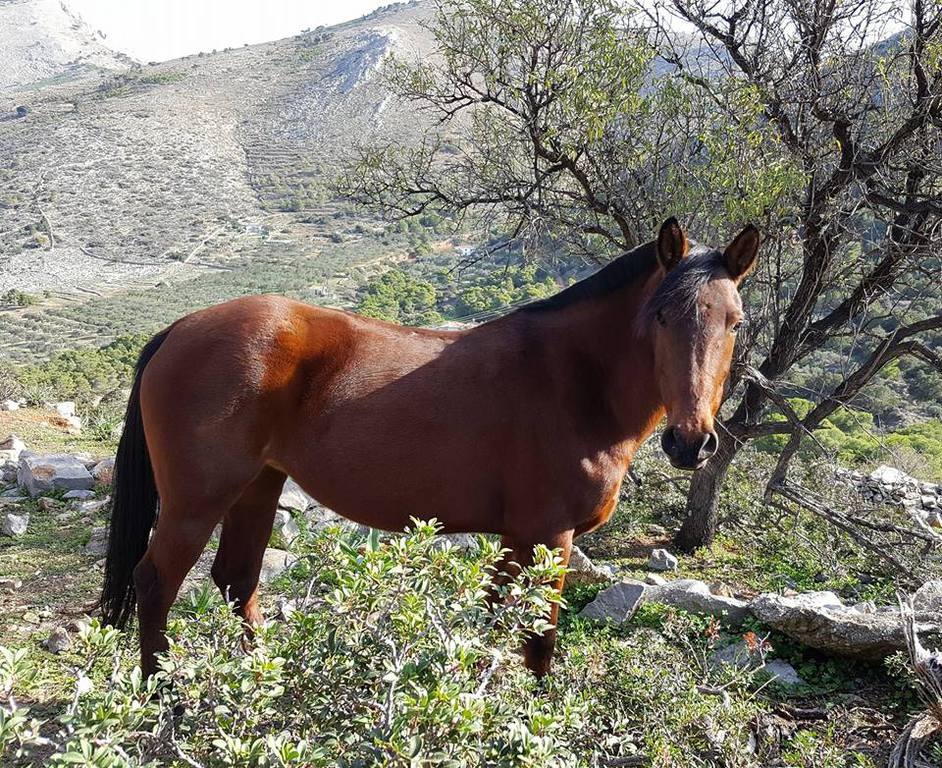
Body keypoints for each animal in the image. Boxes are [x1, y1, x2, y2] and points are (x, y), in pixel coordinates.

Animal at [100, 217, 759, 678]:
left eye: (735, 322)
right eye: (663, 317)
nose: (690, 442)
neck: (573, 378)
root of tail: (178, 330)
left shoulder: (519, 537)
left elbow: (498, 626)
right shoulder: (549, 534)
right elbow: (538, 642)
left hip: (258, 487)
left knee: (238, 581)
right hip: (196, 502)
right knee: (156, 583)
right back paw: (164, 697)